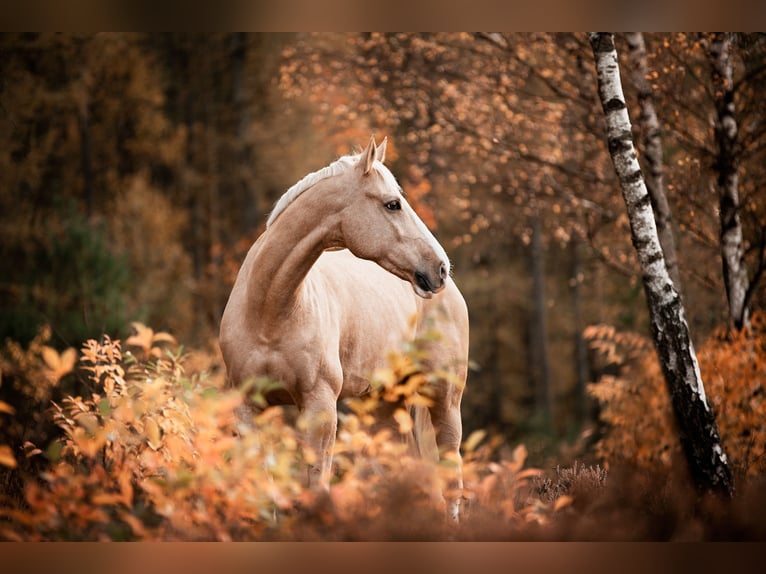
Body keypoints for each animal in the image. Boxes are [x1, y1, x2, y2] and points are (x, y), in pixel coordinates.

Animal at [219, 138, 472, 520]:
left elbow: (316, 484)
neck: (270, 310)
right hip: (387, 405)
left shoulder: (320, 405)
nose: (439, 268)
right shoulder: (248, 407)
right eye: (392, 203)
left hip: (443, 399)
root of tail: (452, 293)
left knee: (451, 476)